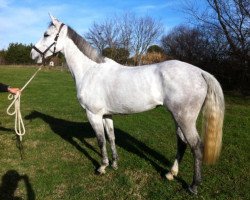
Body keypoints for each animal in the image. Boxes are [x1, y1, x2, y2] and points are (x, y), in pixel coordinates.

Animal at [31, 15, 225, 194]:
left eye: (46, 34)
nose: (33, 54)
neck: (90, 71)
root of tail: (200, 72)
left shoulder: (93, 114)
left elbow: (100, 140)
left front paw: (102, 166)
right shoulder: (106, 115)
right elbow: (111, 137)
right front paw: (115, 163)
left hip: (185, 118)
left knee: (196, 146)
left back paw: (193, 186)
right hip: (178, 117)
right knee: (182, 142)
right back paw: (171, 173)